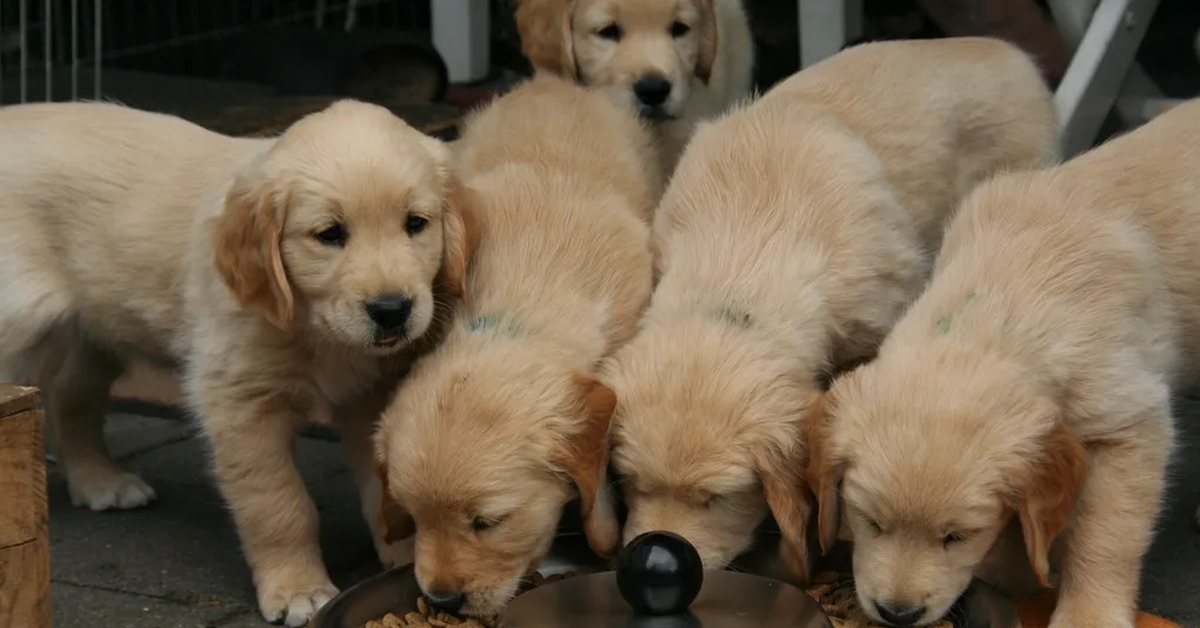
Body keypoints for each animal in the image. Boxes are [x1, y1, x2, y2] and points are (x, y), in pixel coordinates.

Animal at [0, 100, 470, 624]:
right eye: (330, 234)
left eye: (416, 224)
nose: (392, 310)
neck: (313, 327)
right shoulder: (239, 402)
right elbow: (279, 504)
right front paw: (297, 588)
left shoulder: (374, 391)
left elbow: (384, 483)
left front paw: (405, 559)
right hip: (22, 321)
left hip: (94, 330)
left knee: (68, 397)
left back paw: (100, 480)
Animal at [801, 97, 1200, 628]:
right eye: (870, 521)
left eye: (957, 536)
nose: (898, 613)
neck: (1003, 298)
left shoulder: (1129, 423)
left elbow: (1105, 535)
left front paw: (1089, 612)